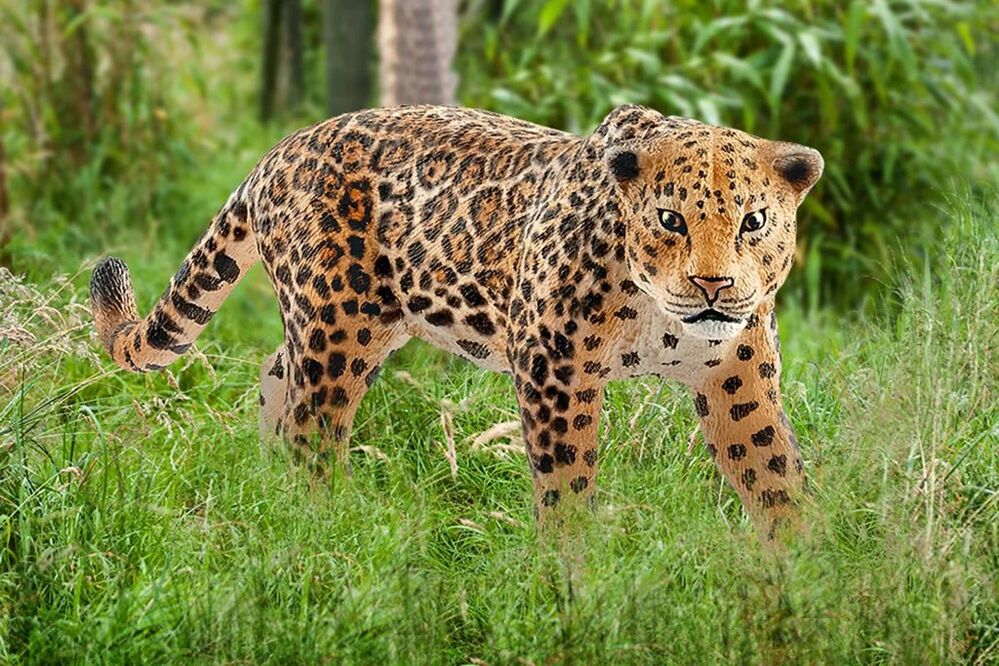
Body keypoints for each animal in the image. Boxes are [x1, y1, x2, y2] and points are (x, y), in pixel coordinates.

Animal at [90, 104, 823, 539]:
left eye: (754, 221)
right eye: (670, 220)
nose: (713, 285)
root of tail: (277, 153)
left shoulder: (738, 376)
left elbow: (773, 470)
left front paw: (803, 566)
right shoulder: (554, 368)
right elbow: (566, 480)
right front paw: (574, 572)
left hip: (350, 328)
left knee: (278, 380)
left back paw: (273, 496)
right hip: (340, 326)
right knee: (312, 429)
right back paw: (324, 530)